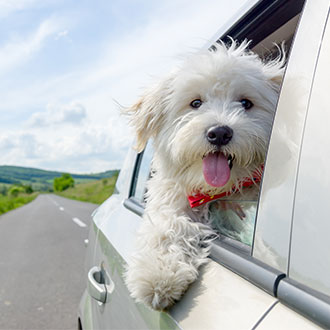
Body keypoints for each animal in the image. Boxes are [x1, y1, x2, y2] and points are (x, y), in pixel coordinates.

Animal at [125, 40, 284, 310]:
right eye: (196, 103)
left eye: (246, 103)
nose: (219, 133)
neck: (217, 191)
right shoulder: (172, 199)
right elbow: (167, 226)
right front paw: (157, 274)